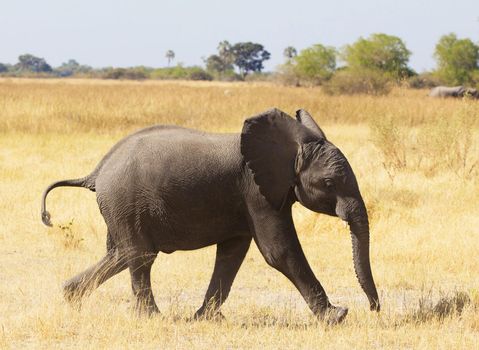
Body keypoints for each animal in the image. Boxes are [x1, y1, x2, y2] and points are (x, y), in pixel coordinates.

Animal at [41, 109, 380, 326]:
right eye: (329, 184)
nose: (374, 309)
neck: (289, 147)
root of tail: (97, 171)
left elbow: (232, 254)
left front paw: (207, 318)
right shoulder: (256, 190)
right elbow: (279, 251)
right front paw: (337, 317)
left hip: (120, 207)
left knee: (121, 254)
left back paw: (70, 297)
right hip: (125, 201)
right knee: (139, 255)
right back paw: (152, 319)